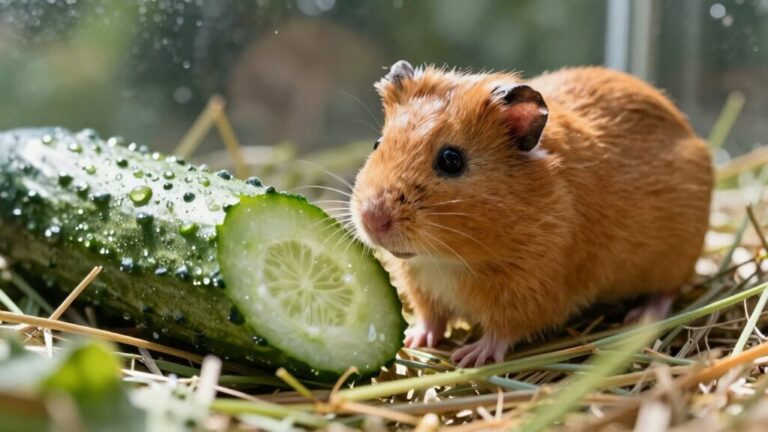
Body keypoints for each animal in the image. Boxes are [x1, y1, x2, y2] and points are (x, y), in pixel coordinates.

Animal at [350, 60, 713, 367]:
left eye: (451, 160)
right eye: (377, 143)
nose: (372, 219)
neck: (445, 260)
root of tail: (692, 135)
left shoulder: (532, 290)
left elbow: (502, 331)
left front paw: (469, 358)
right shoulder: (421, 287)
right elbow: (431, 317)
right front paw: (414, 340)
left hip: (675, 259)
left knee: (668, 291)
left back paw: (640, 316)